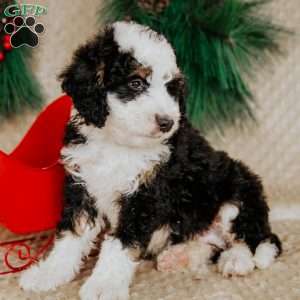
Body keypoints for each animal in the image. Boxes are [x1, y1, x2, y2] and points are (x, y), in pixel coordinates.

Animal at [19, 21, 282, 300]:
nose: (167, 122)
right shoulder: (82, 185)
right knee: (209, 244)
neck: (118, 143)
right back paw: (178, 256)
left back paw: (236, 261)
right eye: (136, 83)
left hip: (238, 191)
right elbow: (71, 235)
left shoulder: (145, 194)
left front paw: (104, 285)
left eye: (171, 88)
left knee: (254, 239)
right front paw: (48, 273)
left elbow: (120, 243)